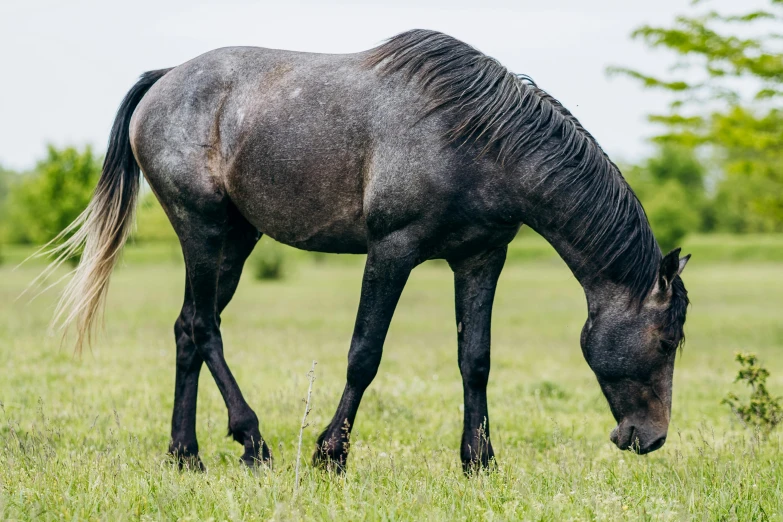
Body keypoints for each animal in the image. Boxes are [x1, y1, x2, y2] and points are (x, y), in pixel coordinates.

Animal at [44, 30, 692, 474]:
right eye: (668, 340)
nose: (653, 437)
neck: (476, 139)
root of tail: (165, 78)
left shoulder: (481, 259)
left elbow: (476, 359)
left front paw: (479, 460)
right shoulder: (392, 251)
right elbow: (365, 353)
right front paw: (331, 453)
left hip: (236, 239)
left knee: (187, 328)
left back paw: (186, 455)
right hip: (200, 231)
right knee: (204, 328)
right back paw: (252, 440)